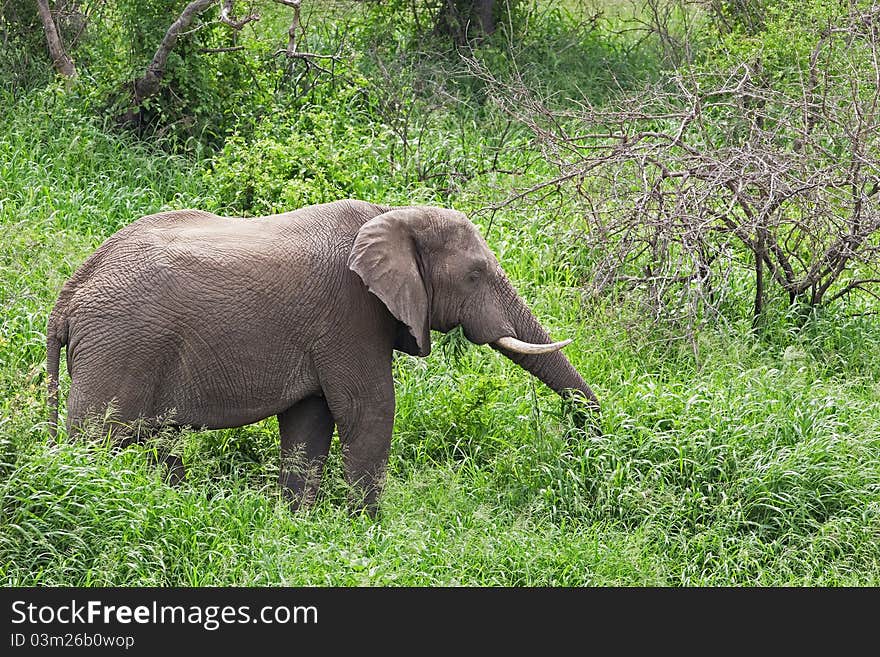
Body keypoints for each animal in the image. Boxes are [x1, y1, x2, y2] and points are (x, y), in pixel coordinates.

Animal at [46, 197, 600, 516]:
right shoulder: (350, 315)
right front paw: (367, 530)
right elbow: (369, 409)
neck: (391, 215)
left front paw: (298, 524)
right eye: (476, 274)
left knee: (155, 440)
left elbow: (309, 421)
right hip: (120, 343)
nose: (586, 441)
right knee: (96, 438)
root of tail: (69, 293)